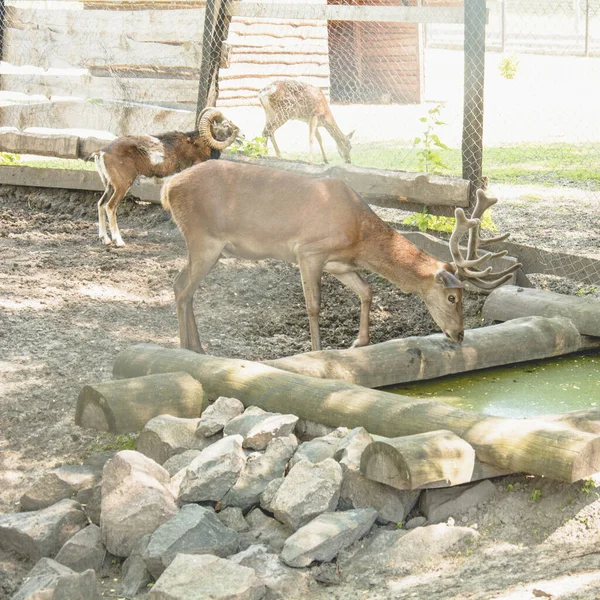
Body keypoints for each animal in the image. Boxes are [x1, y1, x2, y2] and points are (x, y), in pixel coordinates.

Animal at [162, 162, 516, 354]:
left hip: (206, 246)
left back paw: (198, 347)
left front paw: (359, 342)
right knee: (181, 287)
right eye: (453, 296)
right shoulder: (308, 250)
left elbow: (367, 291)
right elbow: (314, 306)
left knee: (184, 287)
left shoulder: (340, 263)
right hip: (203, 238)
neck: (357, 234)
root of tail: (168, 187)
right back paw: (186, 347)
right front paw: (317, 352)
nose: (459, 334)